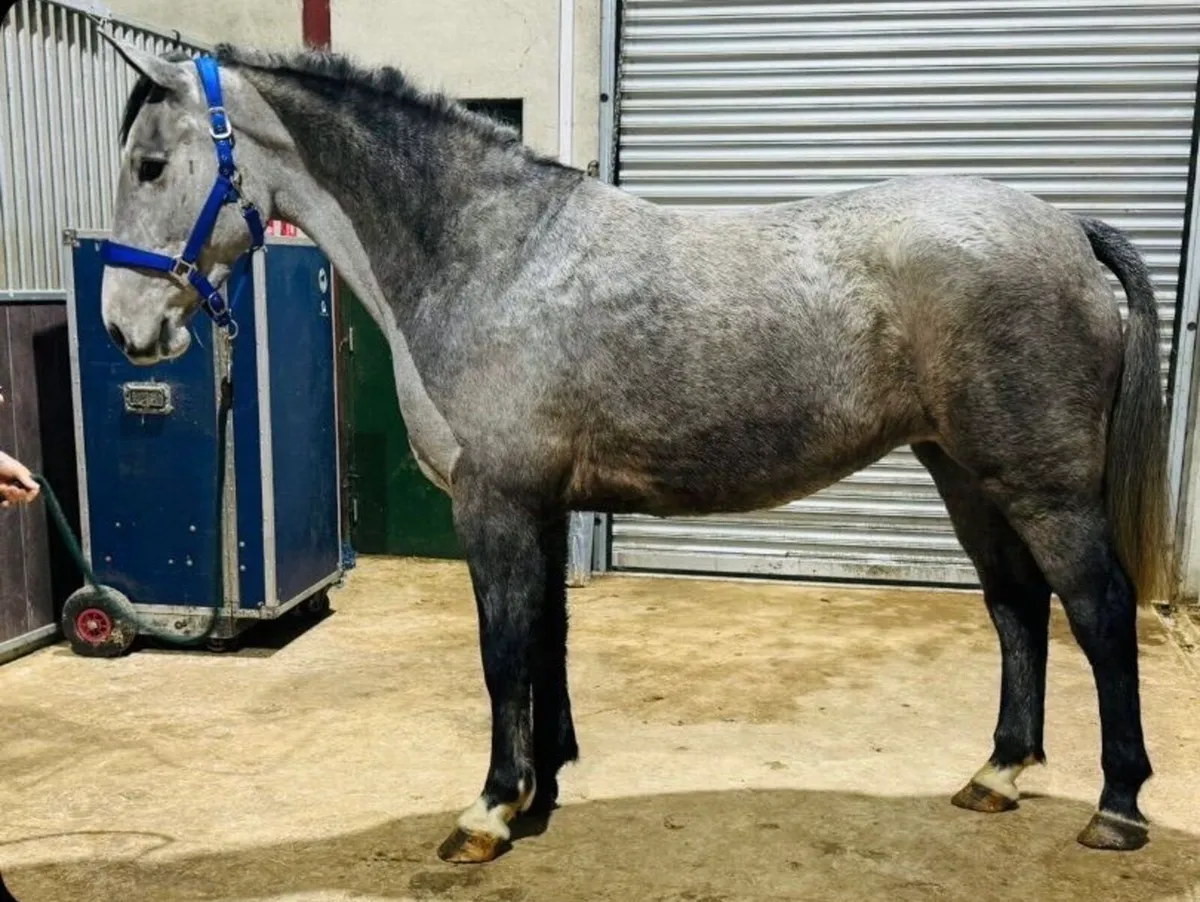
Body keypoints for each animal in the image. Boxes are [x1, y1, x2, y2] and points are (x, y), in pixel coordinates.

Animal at [96, 38, 1172, 862]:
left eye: (150, 165)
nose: (125, 327)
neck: (492, 256)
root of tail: (1065, 225)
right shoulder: (542, 506)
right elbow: (547, 643)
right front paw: (540, 790)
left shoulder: (495, 503)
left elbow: (503, 652)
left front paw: (488, 810)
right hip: (965, 473)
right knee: (1016, 606)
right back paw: (998, 771)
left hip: (1040, 486)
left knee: (1099, 609)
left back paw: (1117, 806)